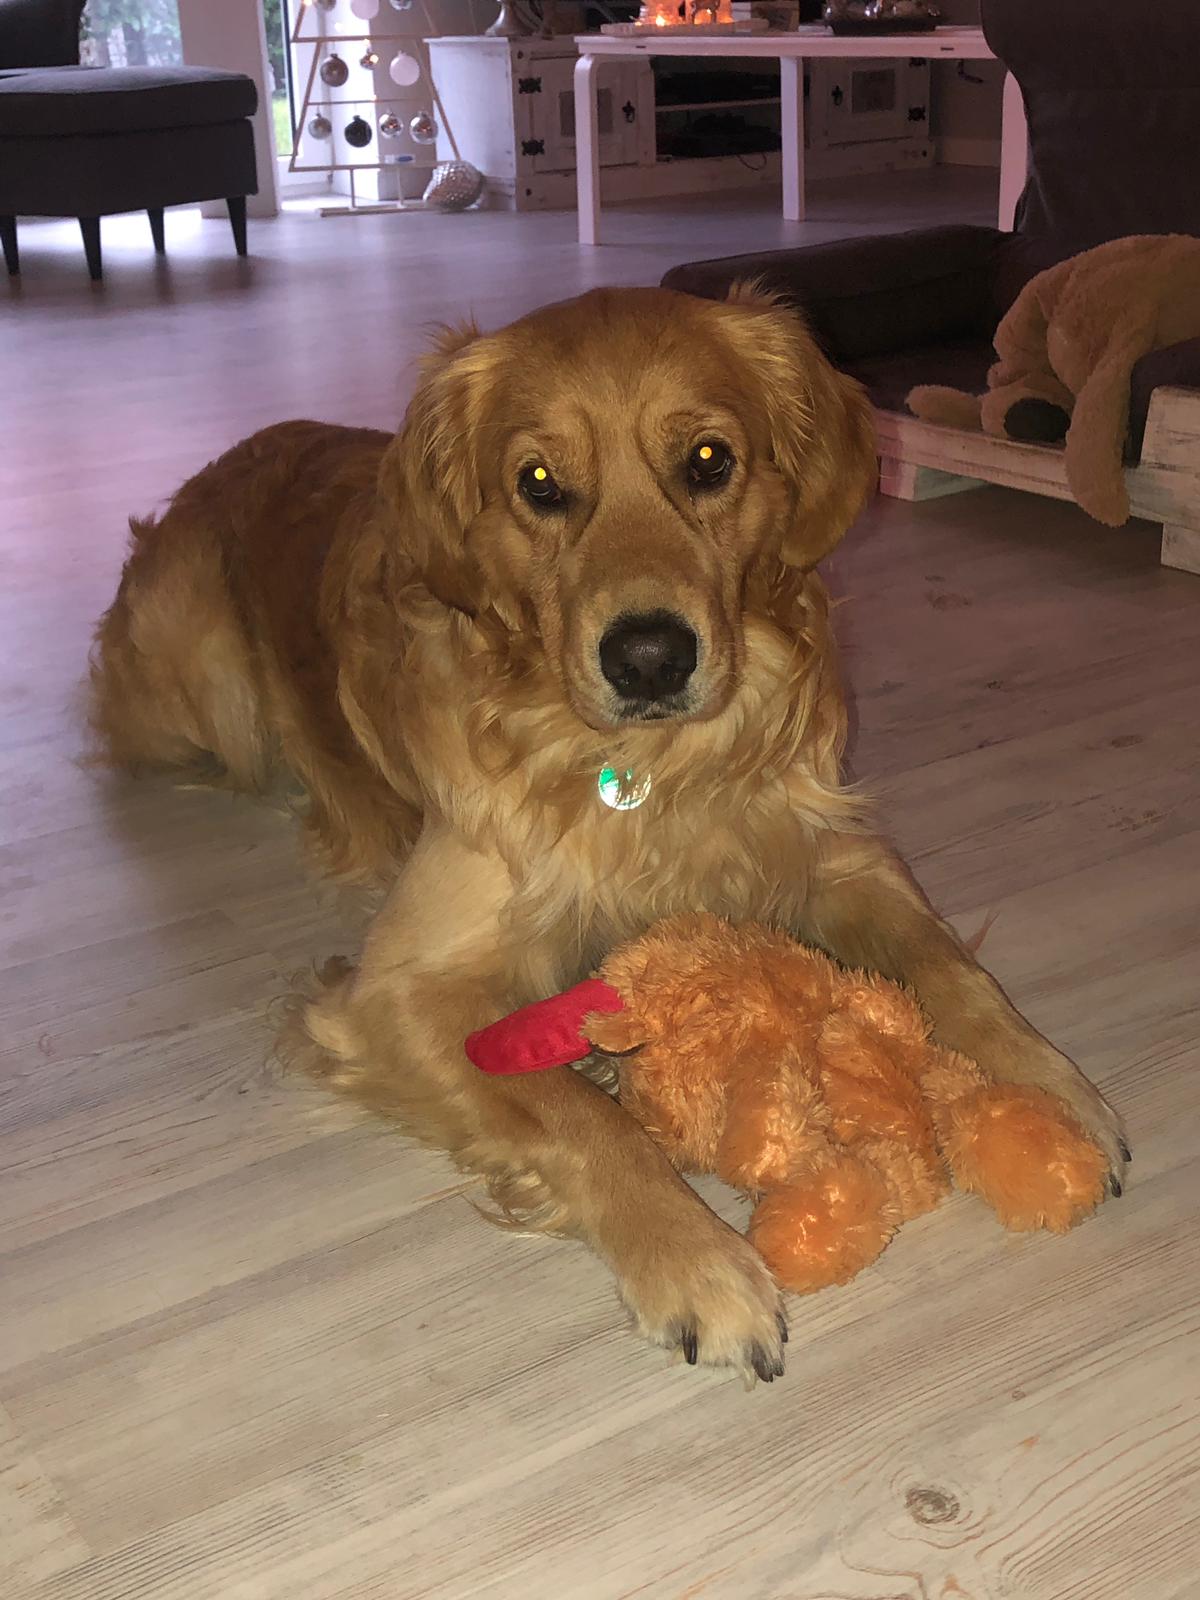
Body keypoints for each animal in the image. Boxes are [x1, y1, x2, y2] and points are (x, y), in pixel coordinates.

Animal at [92, 286, 1127, 1381]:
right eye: (540, 484)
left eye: (708, 461)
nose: (650, 658)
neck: (657, 773)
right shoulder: (394, 995)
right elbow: (584, 1113)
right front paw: (695, 1260)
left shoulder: (834, 852)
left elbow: (949, 970)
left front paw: (1052, 1089)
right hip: (214, 701)